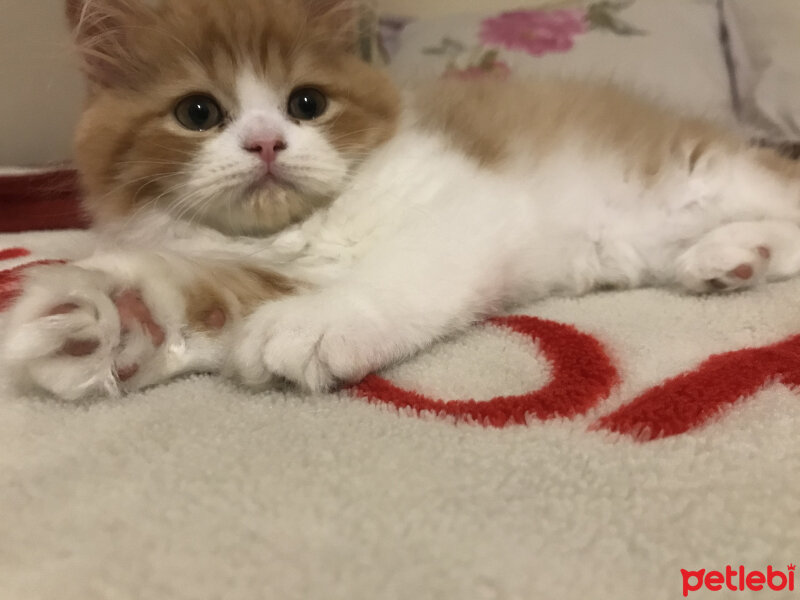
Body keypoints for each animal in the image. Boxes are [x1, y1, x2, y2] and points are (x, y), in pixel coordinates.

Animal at [4, 0, 800, 404]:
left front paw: (321, 323)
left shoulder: (468, 204)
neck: (295, 229)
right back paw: (733, 256)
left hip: (703, 173)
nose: (265, 143)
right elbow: (196, 293)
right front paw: (112, 317)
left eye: (306, 103)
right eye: (198, 113)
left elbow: (396, 274)